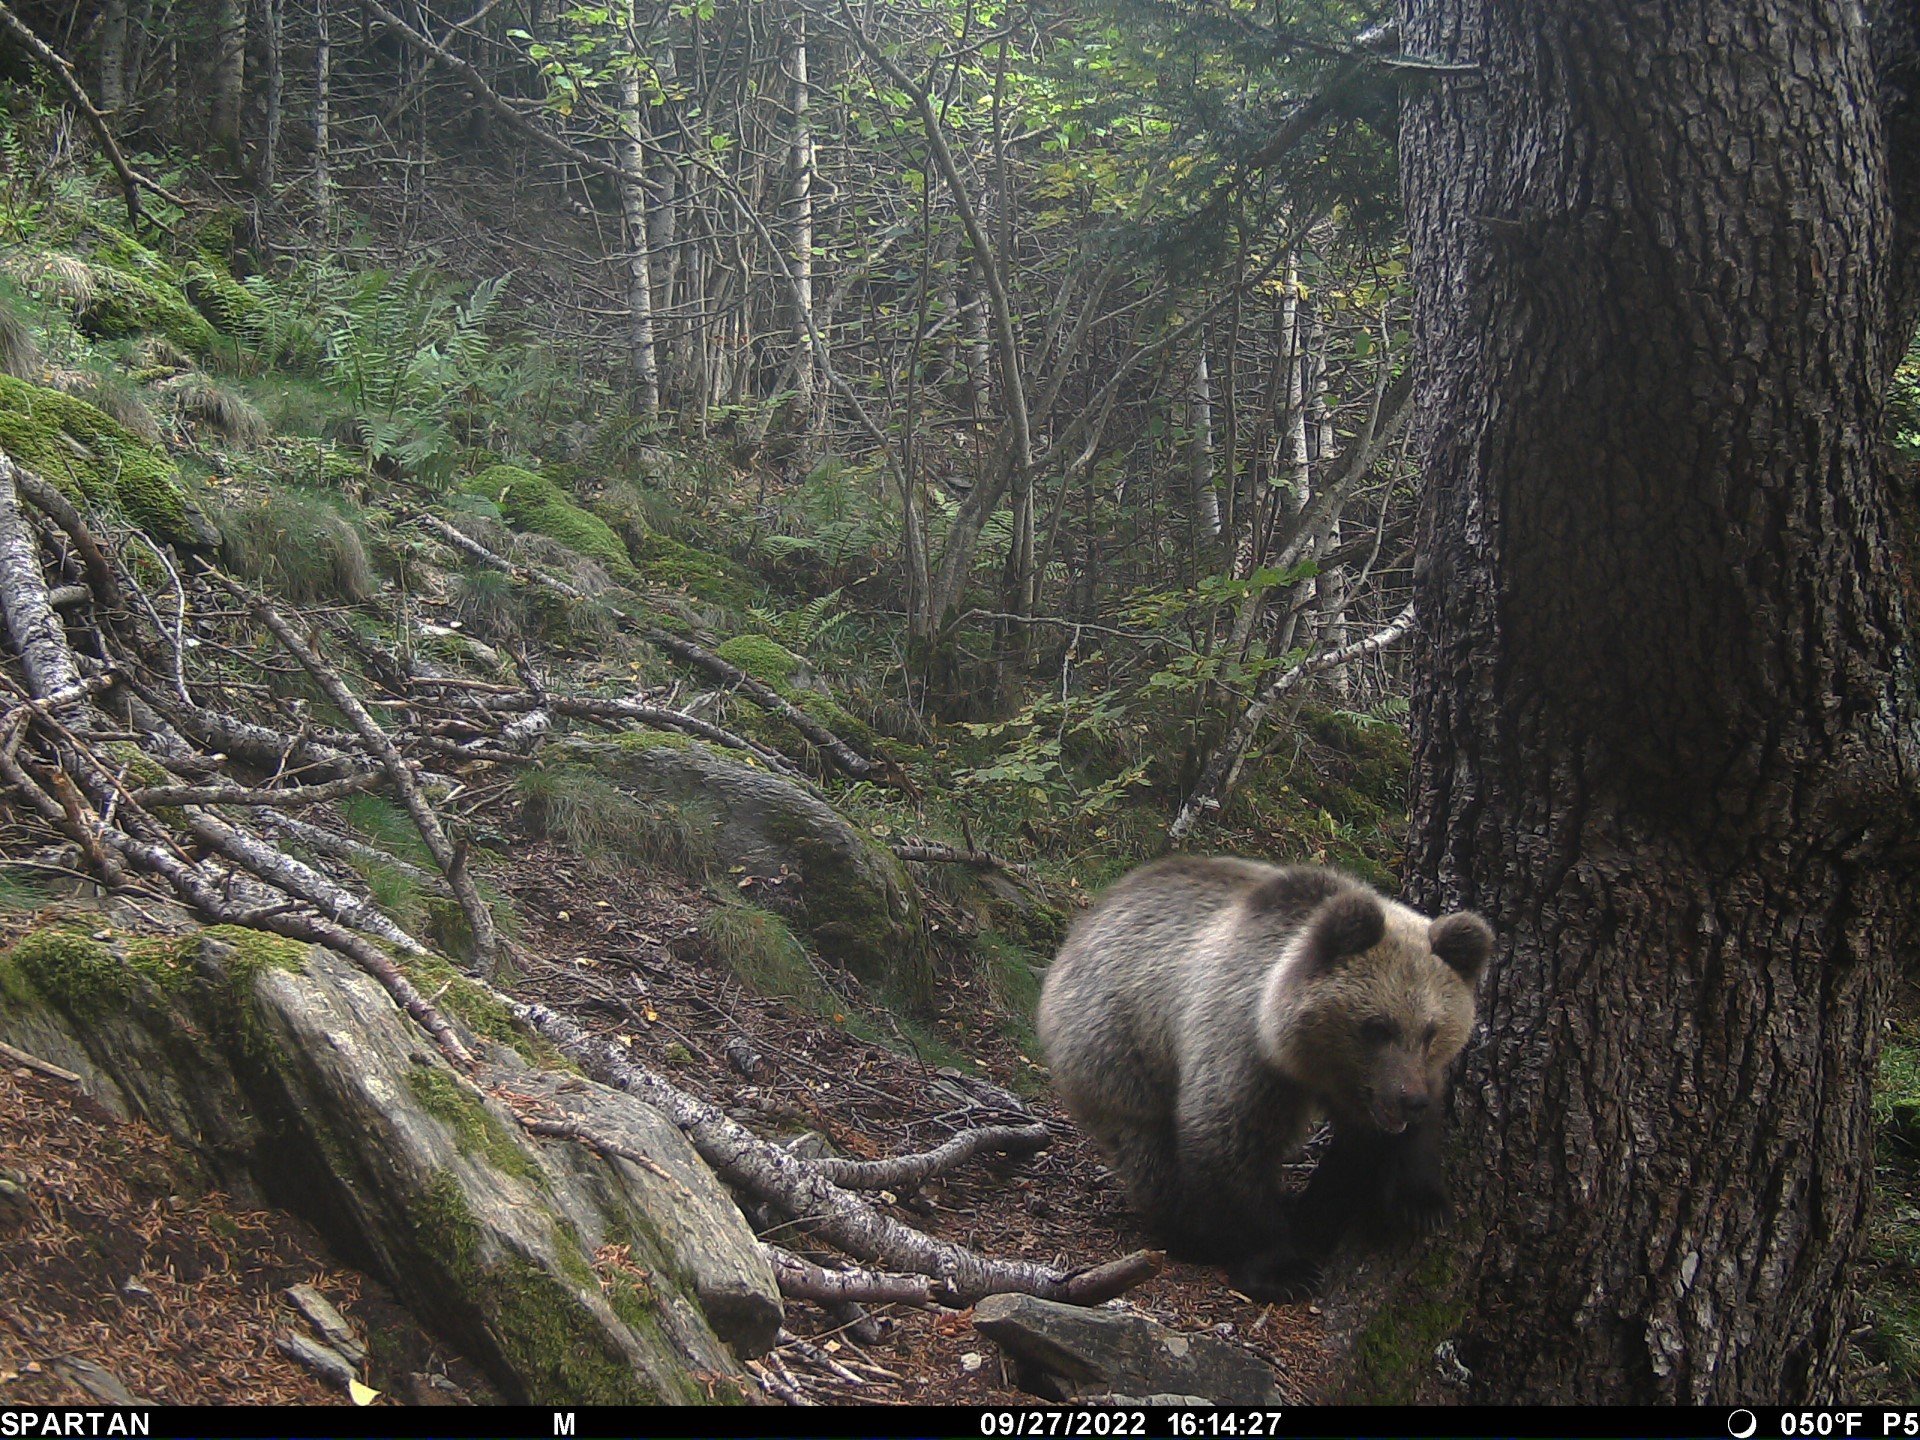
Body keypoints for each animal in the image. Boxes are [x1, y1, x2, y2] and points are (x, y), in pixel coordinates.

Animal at [1044, 852, 1489, 1305]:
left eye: (1431, 1031)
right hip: (1118, 1042)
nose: (1407, 1099)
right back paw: (1189, 1231)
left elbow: (1384, 1142)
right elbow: (1229, 1142)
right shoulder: (1241, 1047)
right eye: (1378, 1027)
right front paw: (1283, 1269)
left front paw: (1420, 1204)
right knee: (1147, 1147)